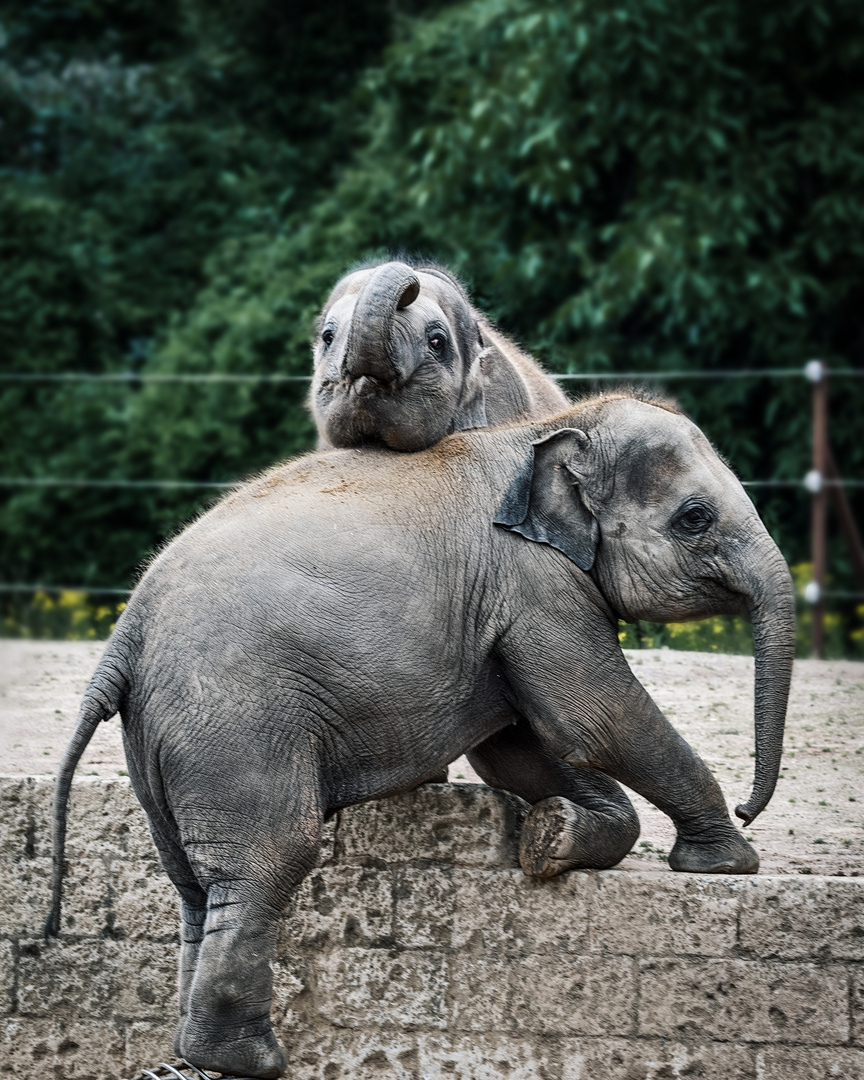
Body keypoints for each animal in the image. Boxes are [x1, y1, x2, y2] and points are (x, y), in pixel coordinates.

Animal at [45, 393, 790, 1075]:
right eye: (695, 519)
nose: (751, 808)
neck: (554, 427)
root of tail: (124, 633)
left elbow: (518, 745)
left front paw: (548, 841)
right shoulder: (535, 582)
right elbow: (590, 716)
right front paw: (727, 862)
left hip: (167, 738)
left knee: (195, 884)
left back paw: (191, 1051)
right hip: (234, 722)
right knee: (269, 859)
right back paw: (248, 1060)